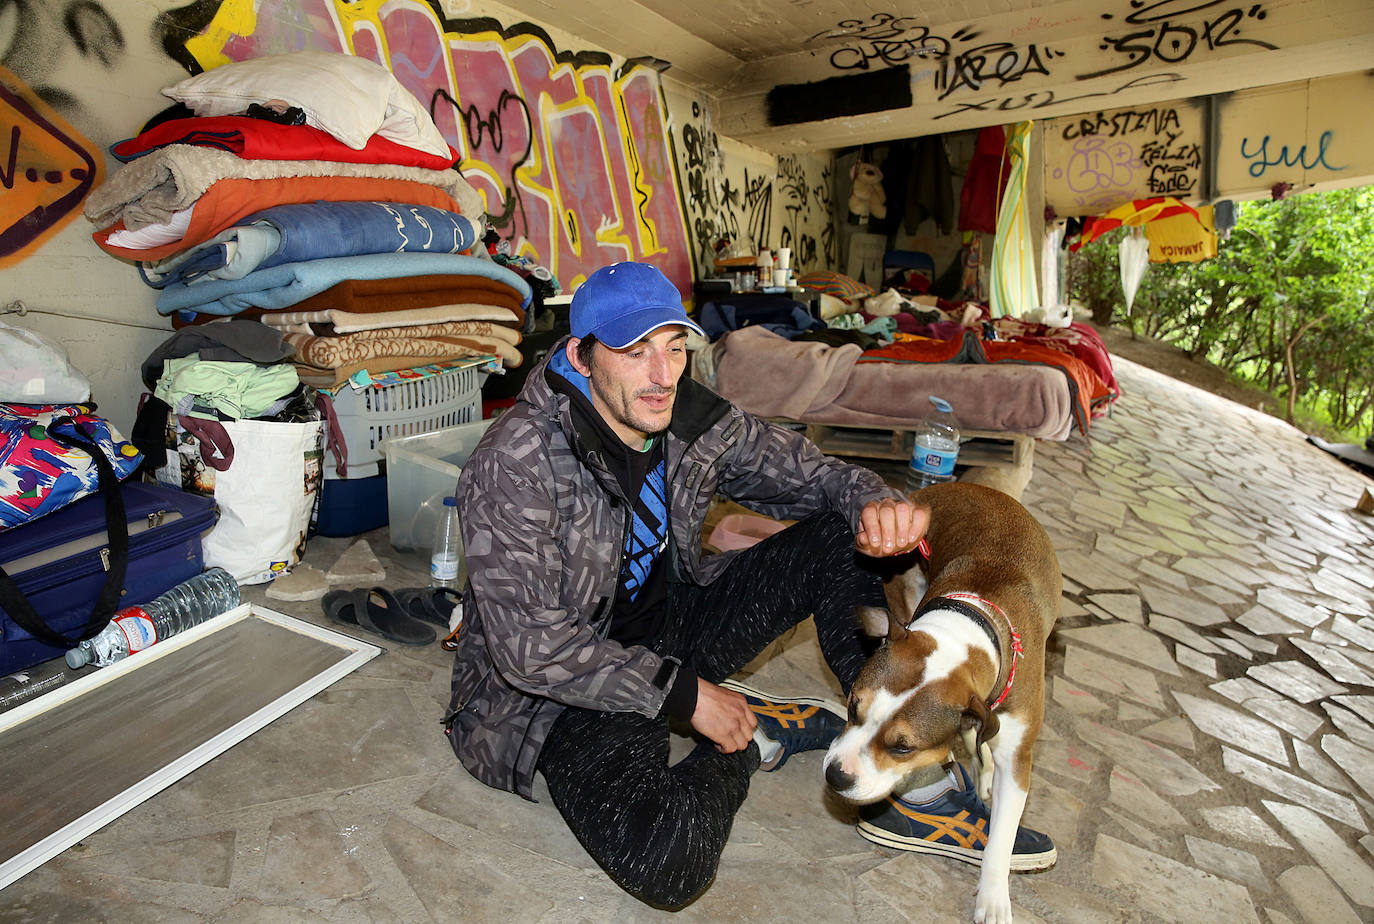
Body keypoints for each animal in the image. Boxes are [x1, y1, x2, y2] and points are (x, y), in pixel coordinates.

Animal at [824, 484, 1060, 924]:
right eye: (851, 708)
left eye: (903, 748)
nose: (836, 776)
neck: (970, 624)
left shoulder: (1018, 756)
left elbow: (1002, 835)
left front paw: (994, 898)